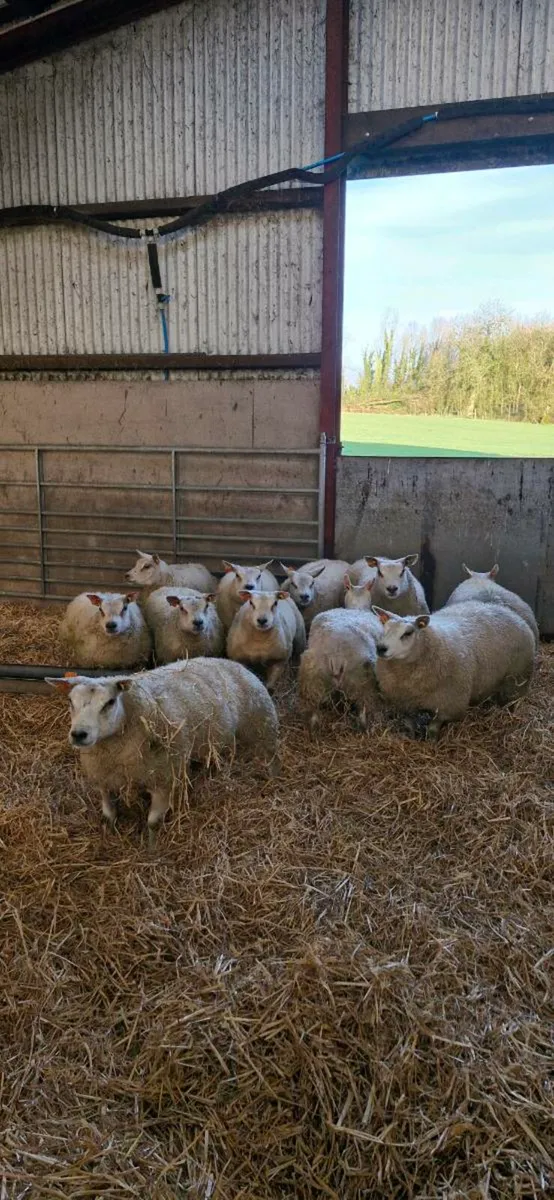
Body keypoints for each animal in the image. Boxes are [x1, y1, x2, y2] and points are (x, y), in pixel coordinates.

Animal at [47, 658, 280, 845]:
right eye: (70, 701)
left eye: (110, 702)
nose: (79, 734)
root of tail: (235, 664)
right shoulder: (105, 780)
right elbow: (108, 814)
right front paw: (110, 836)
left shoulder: (165, 780)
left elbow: (153, 823)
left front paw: (152, 848)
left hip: (262, 733)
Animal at [373, 601, 535, 739]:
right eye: (384, 630)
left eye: (407, 633)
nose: (381, 648)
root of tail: (507, 611)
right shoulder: (404, 702)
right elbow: (409, 723)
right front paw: (410, 736)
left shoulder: (449, 704)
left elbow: (434, 726)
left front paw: (431, 740)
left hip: (517, 679)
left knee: (512, 699)